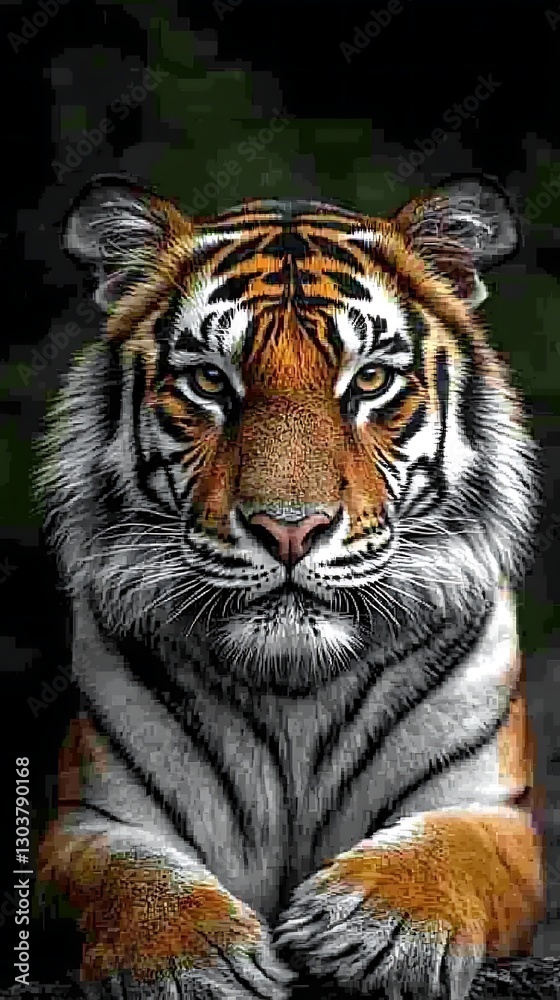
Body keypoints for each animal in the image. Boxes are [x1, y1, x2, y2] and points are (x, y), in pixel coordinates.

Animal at [37, 172, 545, 1000]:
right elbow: (129, 876)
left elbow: (451, 848)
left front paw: (376, 926)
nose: (288, 529)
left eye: (369, 379)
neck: (294, 689)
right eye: (210, 381)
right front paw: (189, 960)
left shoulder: (491, 810)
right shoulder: (87, 819)